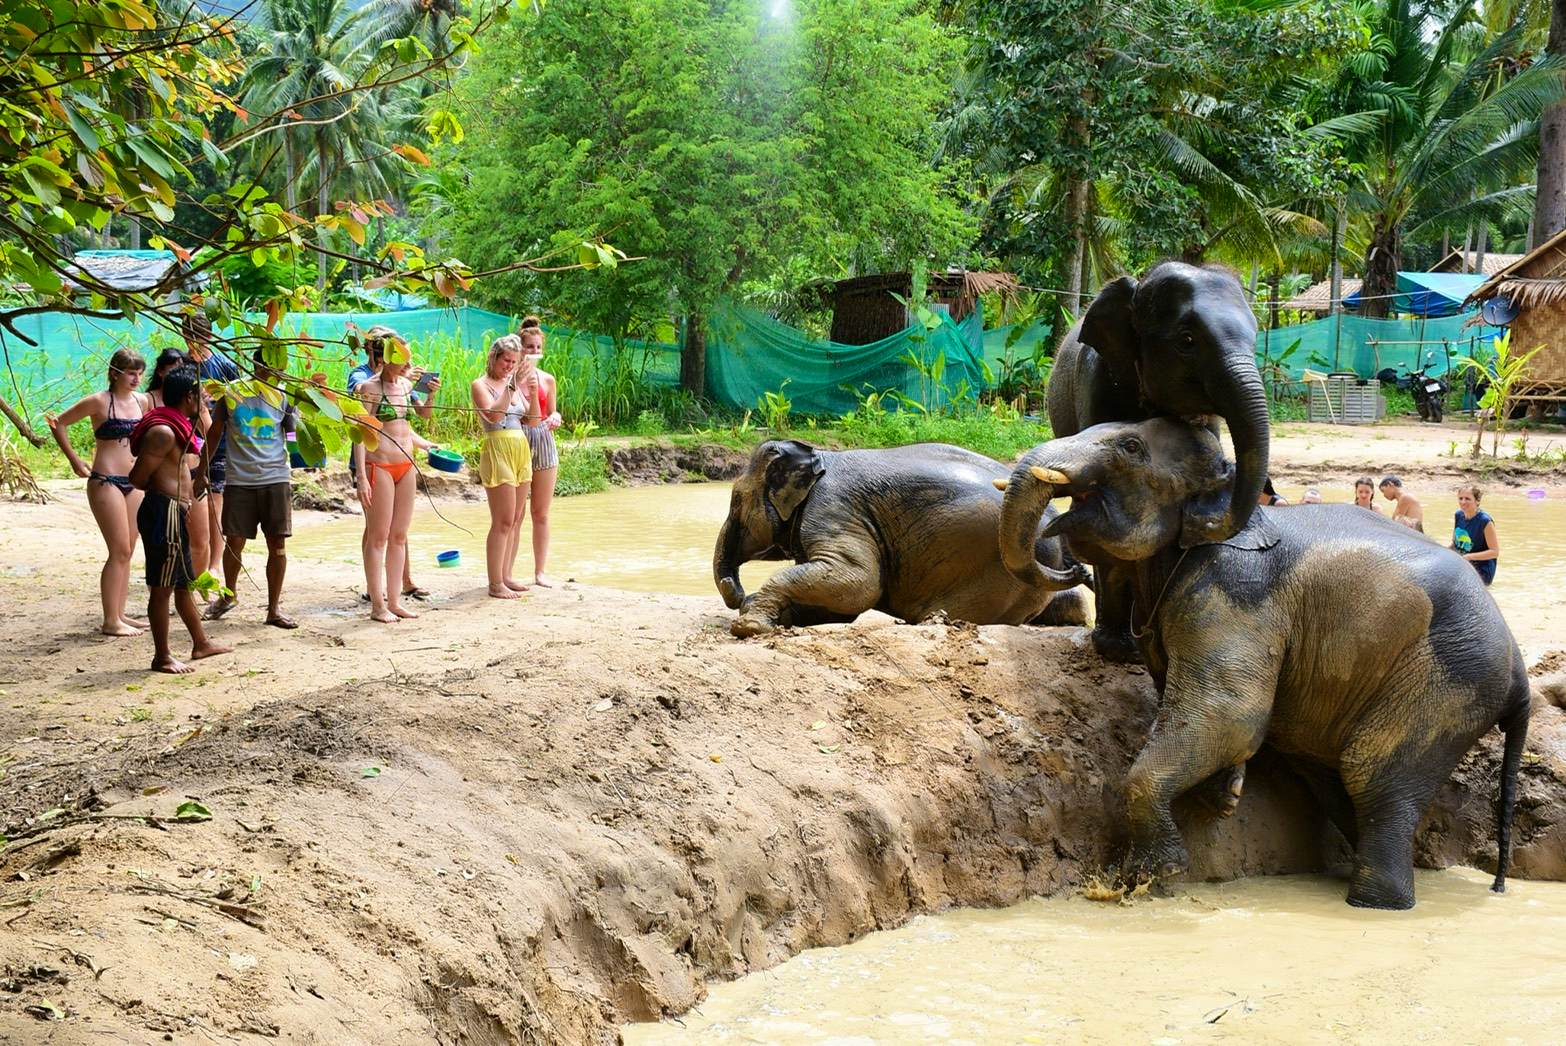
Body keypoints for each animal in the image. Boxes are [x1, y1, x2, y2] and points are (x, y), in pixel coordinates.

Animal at [714, 438, 1089, 638]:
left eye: (736, 500)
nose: (737, 591)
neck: (819, 454)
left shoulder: (833, 508)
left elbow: (860, 582)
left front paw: (750, 626)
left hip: (993, 573)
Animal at [1002, 416, 1528, 908]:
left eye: (1130, 447)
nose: (1072, 567)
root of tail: (1519, 669)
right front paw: (1226, 794)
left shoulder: (1235, 591)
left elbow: (1230, 712)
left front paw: (1149, 878)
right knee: (1334, 779)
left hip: (1448, 677)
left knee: (1373, 775)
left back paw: (1374, 905)